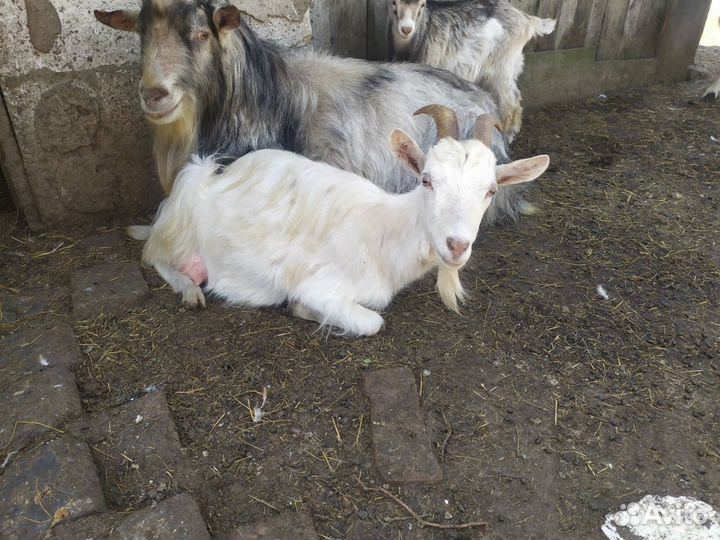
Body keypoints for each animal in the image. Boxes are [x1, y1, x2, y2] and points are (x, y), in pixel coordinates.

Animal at [141, 106, 550, 336]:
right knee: (155, 255)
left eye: (491, 191)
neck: (385, 233)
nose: (457, 245)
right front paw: (301, 309)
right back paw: (190, 291)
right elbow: (372, 322)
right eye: (427, 179)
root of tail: (216, 175)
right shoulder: (322, 286)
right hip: (183, 212)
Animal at [389, 0, 556, 141]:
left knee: (511, 102)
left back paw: (508, 136)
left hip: (502, 68)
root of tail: (527, 19)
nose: (406, 29)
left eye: (422, 4)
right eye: (394, 3)